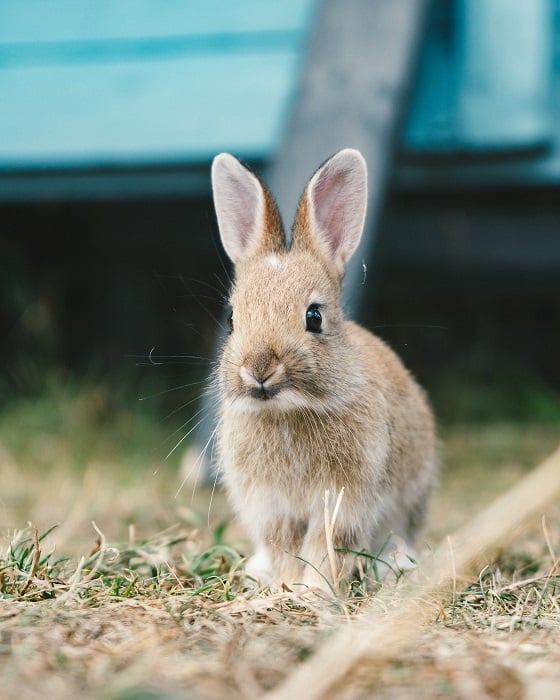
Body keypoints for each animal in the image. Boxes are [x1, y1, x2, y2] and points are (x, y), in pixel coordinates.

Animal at [211, 148, 437, 592]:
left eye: (314, 317)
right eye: (231, 319)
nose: (259, 369)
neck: (287, 412)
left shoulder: (344, 500)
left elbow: (325, 545)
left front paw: (313, 590)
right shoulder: (271, 506)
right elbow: (283, 546)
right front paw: (284, 586)